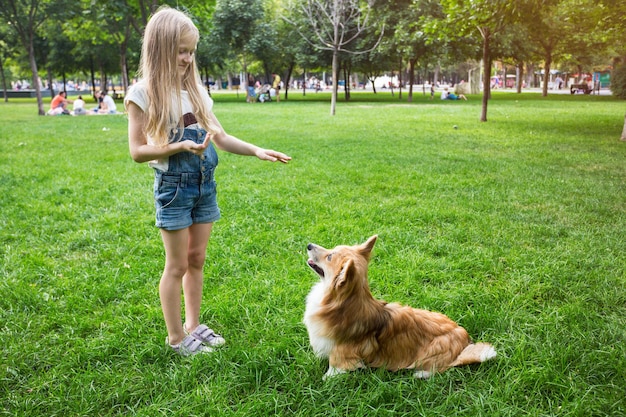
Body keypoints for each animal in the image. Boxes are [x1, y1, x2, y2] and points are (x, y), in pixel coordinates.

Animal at [304, 236, 494, 378]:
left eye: (329, 257)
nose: (309, 245)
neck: (340, 301)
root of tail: (465, 343)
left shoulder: (342, 353)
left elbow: (334, 367)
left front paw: (326, 380)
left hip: (434, 349)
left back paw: (421, 374)